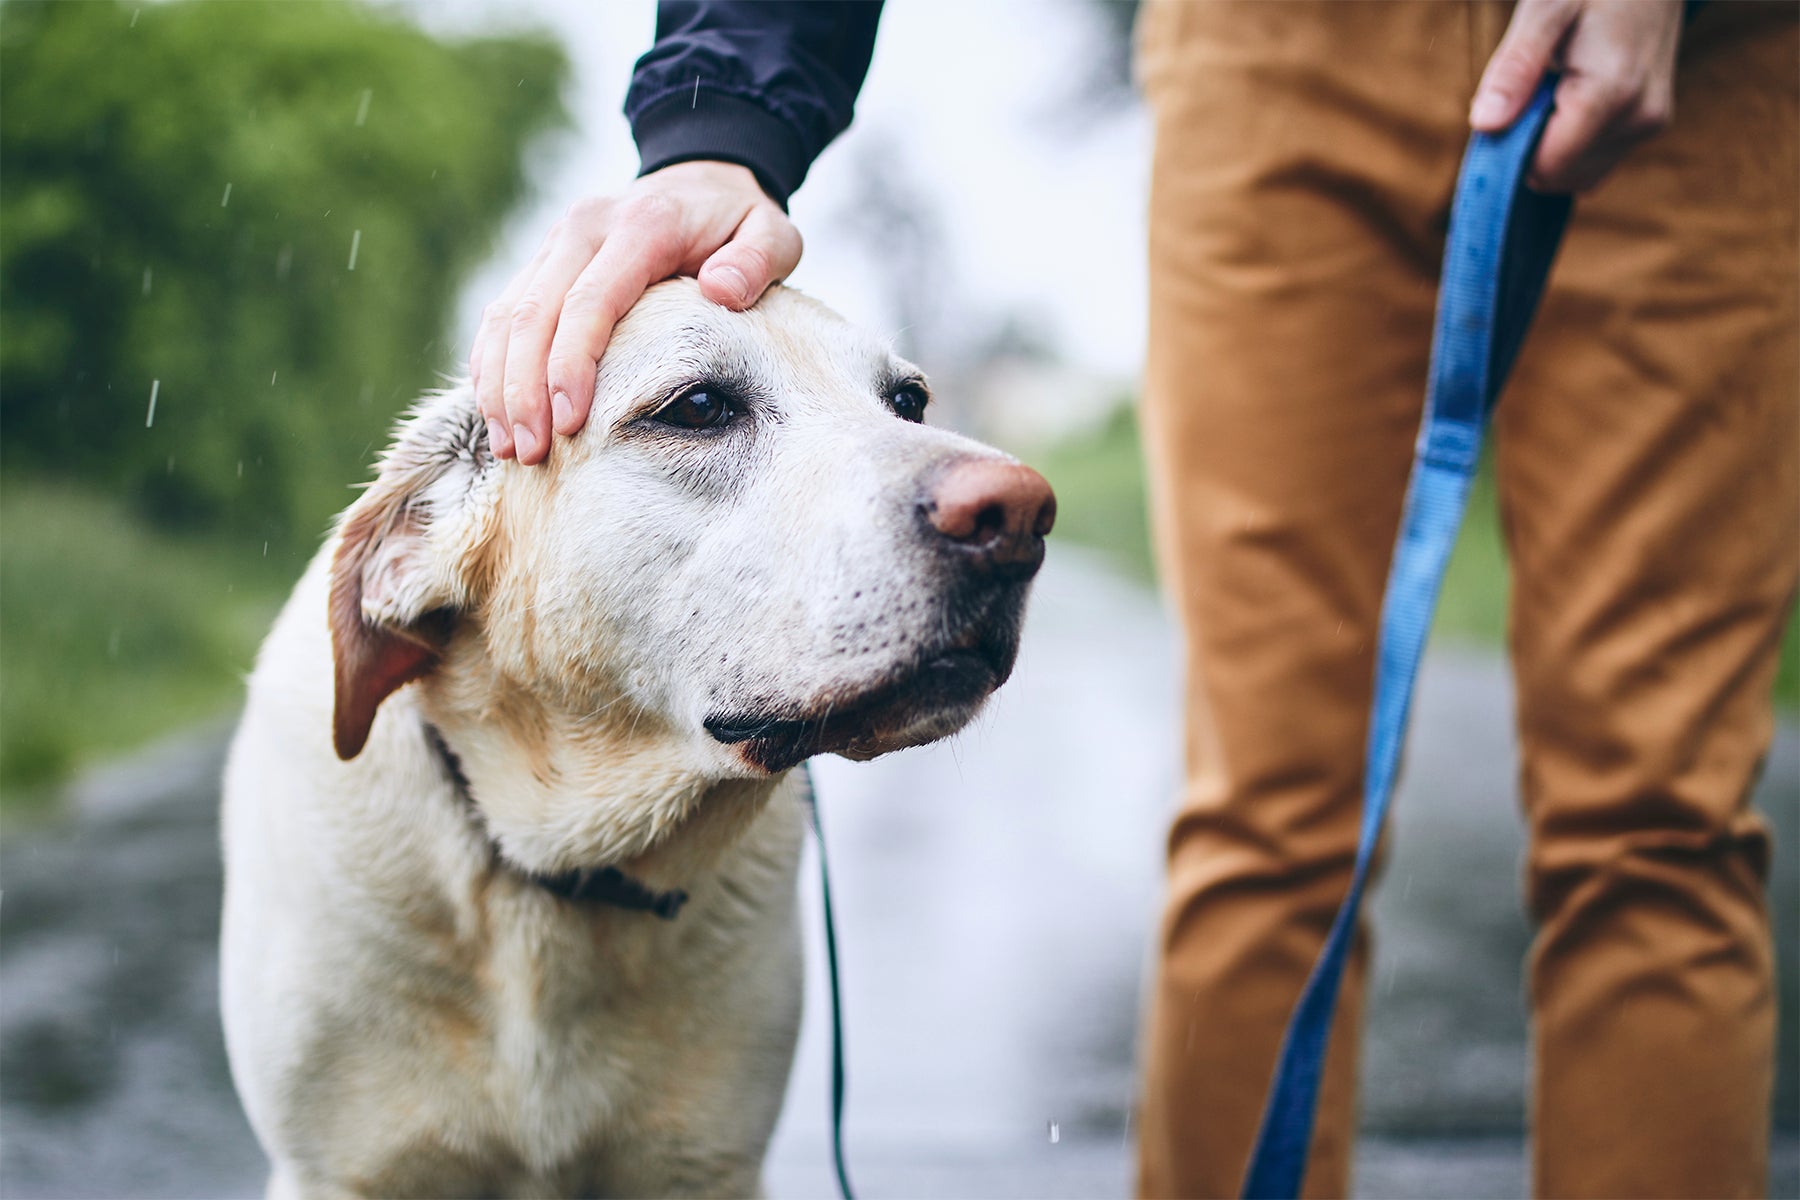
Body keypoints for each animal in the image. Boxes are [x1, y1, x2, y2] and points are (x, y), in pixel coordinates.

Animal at [221, 282, 1051, 1200]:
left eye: (908, 402)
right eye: (698, 407)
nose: (1020, 512)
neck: (562, 872)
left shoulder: (706, 1166)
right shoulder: (337, 1172)